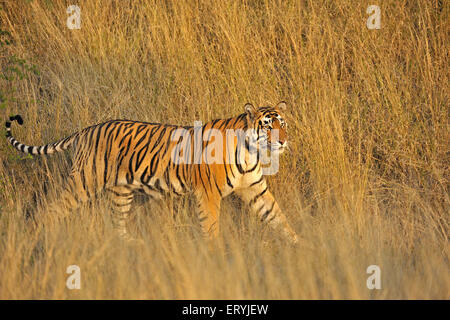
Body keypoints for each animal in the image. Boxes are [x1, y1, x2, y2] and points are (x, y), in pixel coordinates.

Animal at [5, 101, 298, 244]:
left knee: (117, 224)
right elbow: (211, 227)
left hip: (121, 193)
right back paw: (41, 238)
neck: (252, 152)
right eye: (267, 126)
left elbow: (279, 218)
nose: (283, 141)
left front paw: (300, 247)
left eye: (282, 124)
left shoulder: (255, 190)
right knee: (50, 210)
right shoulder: (208, 195)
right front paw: (216, 256)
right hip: (83, 181)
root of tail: (87, 129)